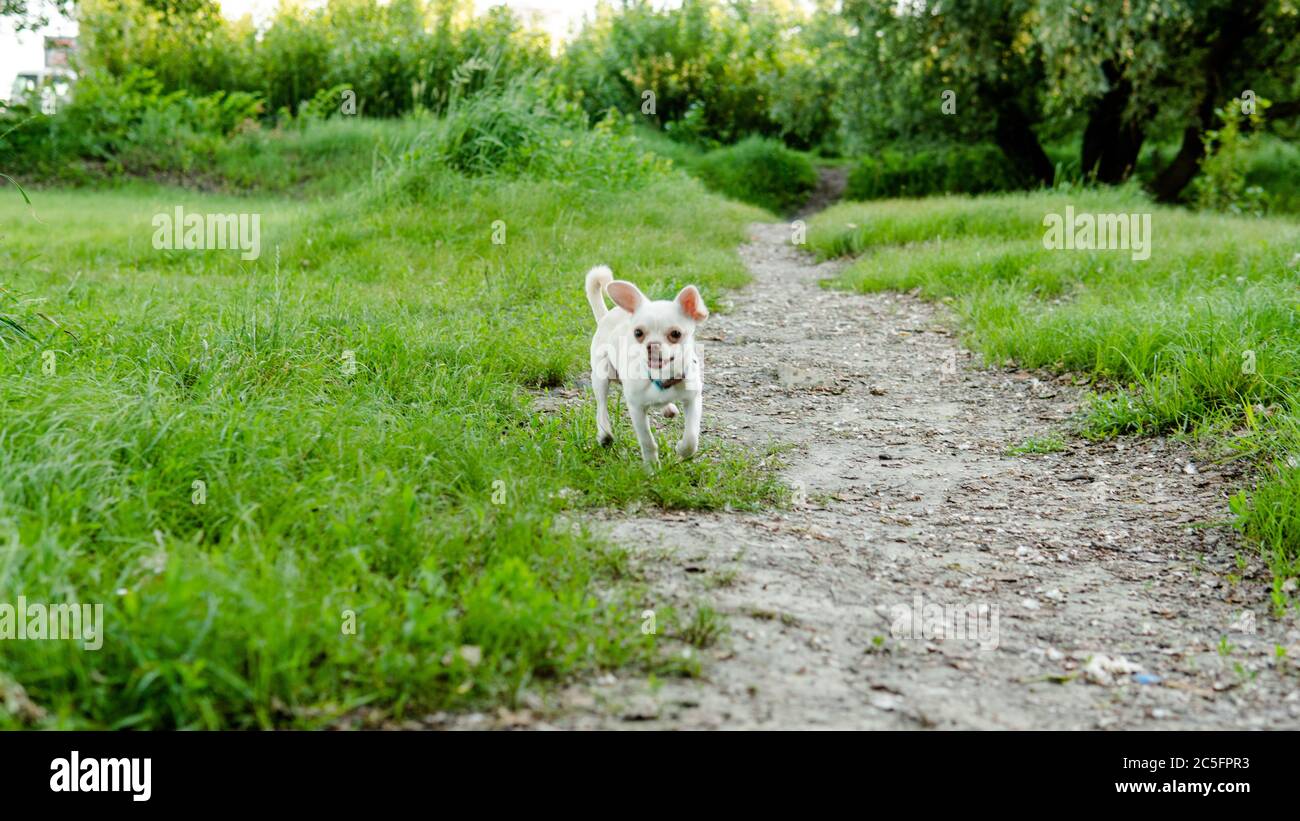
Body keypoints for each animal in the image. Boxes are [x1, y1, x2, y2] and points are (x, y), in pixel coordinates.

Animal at [587, 266, 712, 465]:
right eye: (638, 333)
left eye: (675, 334)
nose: (652, 344)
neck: (661, 377)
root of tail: (605, 316)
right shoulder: (636, 408)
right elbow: (647, 441)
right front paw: (652, 466)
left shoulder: (693, 400)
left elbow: (692, 437)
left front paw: (682, 450)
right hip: (601, 376)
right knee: (601, 407)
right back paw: (604, 434)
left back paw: (668, 408)